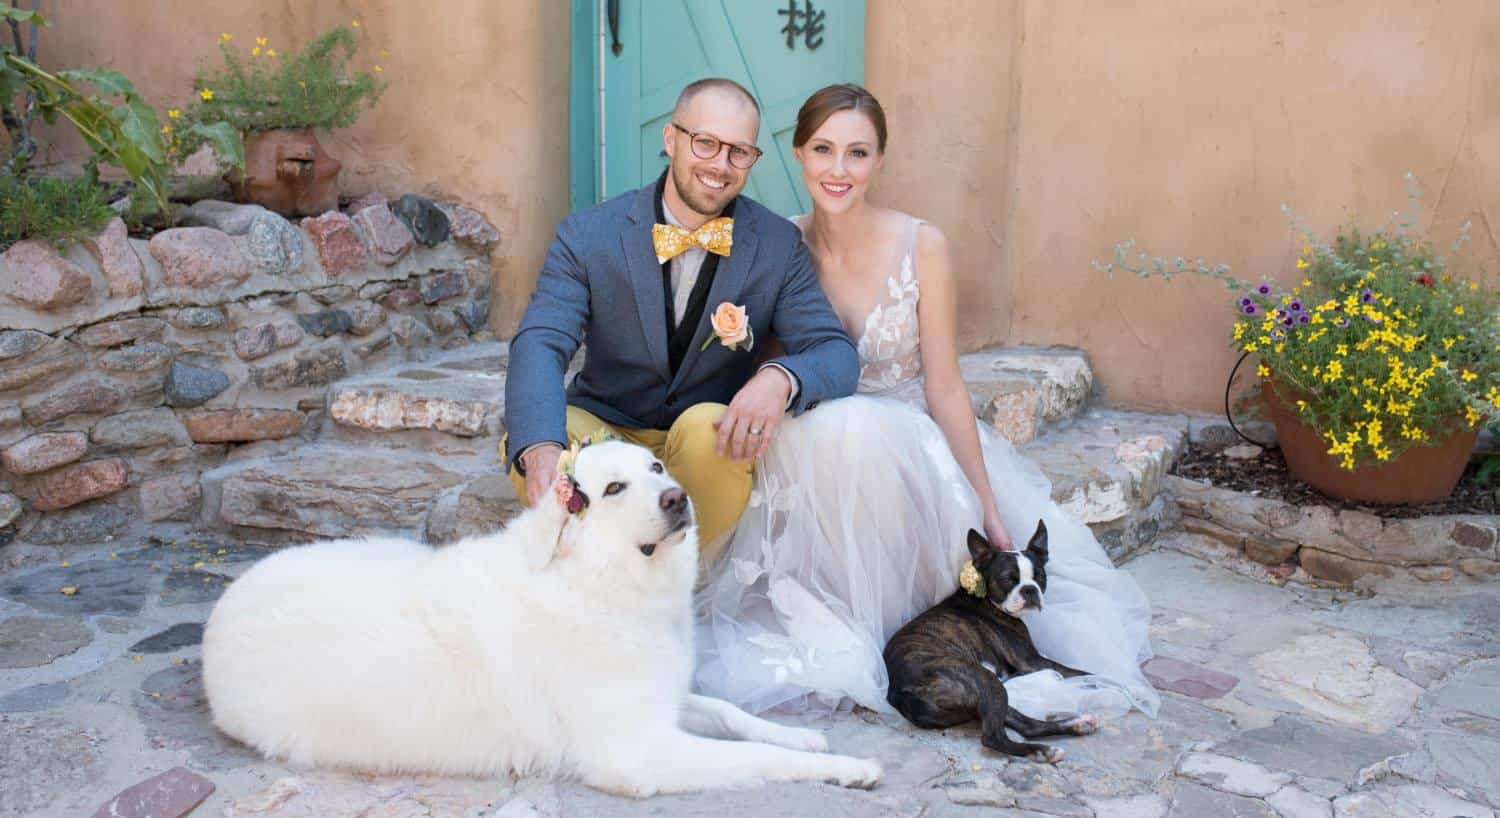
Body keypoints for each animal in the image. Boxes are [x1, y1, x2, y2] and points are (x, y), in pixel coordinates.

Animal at [199, 444, 876, 792]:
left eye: (656, 469)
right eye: (612, 490)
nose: (677, 499)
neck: (598, 583)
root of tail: (223, 607)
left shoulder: (665, 700)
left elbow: (735, 716)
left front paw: (803, 736)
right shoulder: (639, 750)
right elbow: (757, 761)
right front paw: (845, 768)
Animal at [876, 519, 1104, 762]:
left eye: (1039, 576)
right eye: (1007, 579)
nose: (1029, 589)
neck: (989, 600)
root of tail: (902, 693)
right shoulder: (1032, 662)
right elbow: (1083, 673)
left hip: (986, 693)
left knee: (1023, 723)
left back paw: (1077, 725)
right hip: (982, 678)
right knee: (993, 737)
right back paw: (1043, 750)